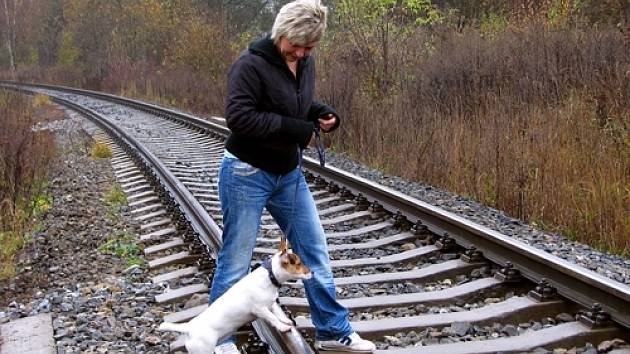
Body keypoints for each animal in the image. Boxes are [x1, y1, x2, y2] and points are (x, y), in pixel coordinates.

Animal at [160, 241, 314, 354]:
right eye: (298, 263)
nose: (312, 272)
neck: (270, 276)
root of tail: (189, 328)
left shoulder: (271, 304)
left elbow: (278, 314)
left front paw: (286, 321)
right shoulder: (260, 309)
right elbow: (273, 318)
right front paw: (282, 327)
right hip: (203, 350)